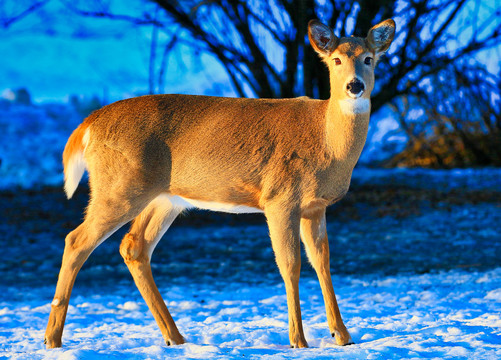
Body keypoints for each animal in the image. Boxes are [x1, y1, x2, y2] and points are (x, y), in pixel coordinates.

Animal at [44, 19, 394, 348]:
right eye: (336, 59)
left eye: (368, 58)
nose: (354, 85)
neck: (327, 141)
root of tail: (88, 124)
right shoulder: (280, 198)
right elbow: (290, 265)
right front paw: (298, 340)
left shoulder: (315, 206)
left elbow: (323, 262)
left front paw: (343, 335)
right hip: (119, 187)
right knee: (76, 241)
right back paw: (53, 339)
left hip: (164, 199)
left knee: (133, 246)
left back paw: (175, 337)